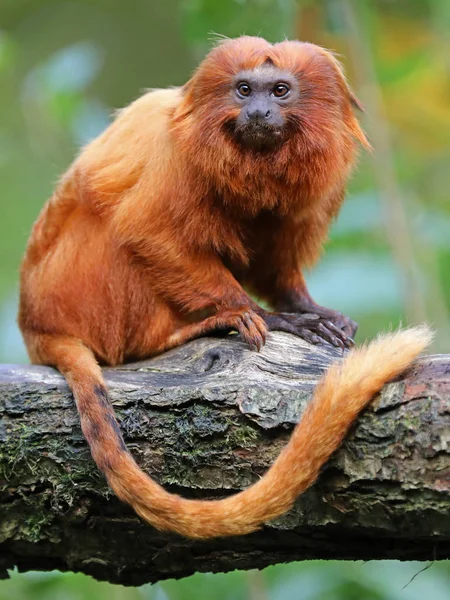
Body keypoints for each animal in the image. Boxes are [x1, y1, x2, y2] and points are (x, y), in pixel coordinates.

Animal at [18, 35, 432, 536]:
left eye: (279, 91)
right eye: (243, 89)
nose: (257, 112)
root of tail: (35, 327)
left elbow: (272, 265)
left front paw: (309, 309)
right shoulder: (173, 160)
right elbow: (147, 231)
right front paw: (265, 316)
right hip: (81, 294)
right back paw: (184, 332)